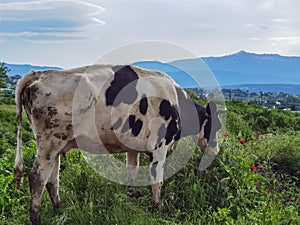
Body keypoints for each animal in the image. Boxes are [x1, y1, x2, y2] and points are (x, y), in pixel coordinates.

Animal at [14, 64, 223, 224]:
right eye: (217, 126)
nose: (216, 150)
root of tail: (41, 74)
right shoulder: (159, 146)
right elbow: (157, 179)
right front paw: (157, 208)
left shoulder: (133, 146)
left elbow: (132, 170)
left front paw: (129, 195)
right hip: (49, 143)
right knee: (37, 178)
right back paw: (36, 219)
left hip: (56, 145)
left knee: (52, 180)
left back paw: (59, 210)